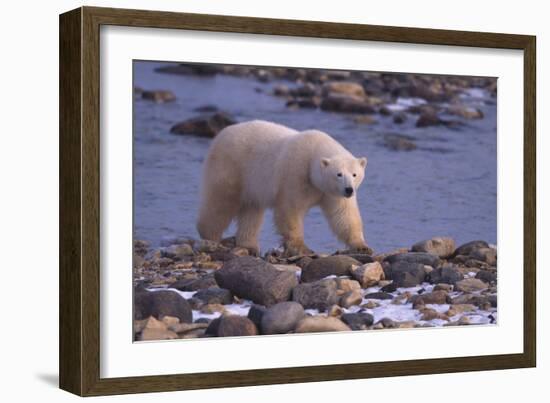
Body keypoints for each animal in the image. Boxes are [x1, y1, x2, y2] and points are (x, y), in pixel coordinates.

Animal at [196, 120, 374, 256]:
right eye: (338, 174)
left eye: (354, 174)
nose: (349, 190)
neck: (313, 153)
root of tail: (220, 134)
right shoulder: (295, 174)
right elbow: (290, 209)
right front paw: (302, 247)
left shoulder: (331, 193)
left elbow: (344, 215)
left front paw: (362, 246)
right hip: (231, 167)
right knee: (221, 203)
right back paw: (210, 237)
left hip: (251, 183)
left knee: (251, 211)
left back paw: (249, 245)